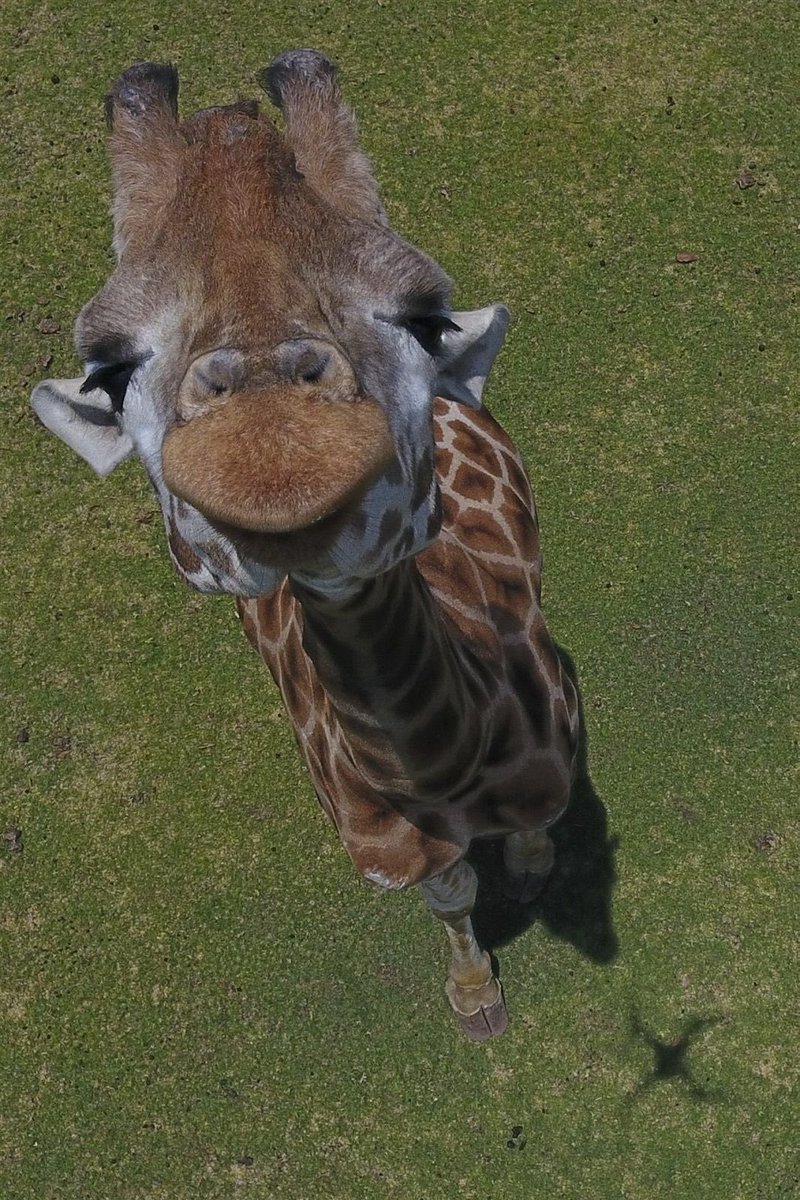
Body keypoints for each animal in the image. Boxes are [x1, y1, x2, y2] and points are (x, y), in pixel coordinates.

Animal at [31, 54, 579, 1041]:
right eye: (112, 371)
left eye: (424, 318)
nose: (274, 453)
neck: (444, 769)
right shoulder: (389, 855)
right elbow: (452, 897)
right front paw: (475, 996)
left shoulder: (552, 761)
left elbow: (531, 834)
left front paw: (529, 872)